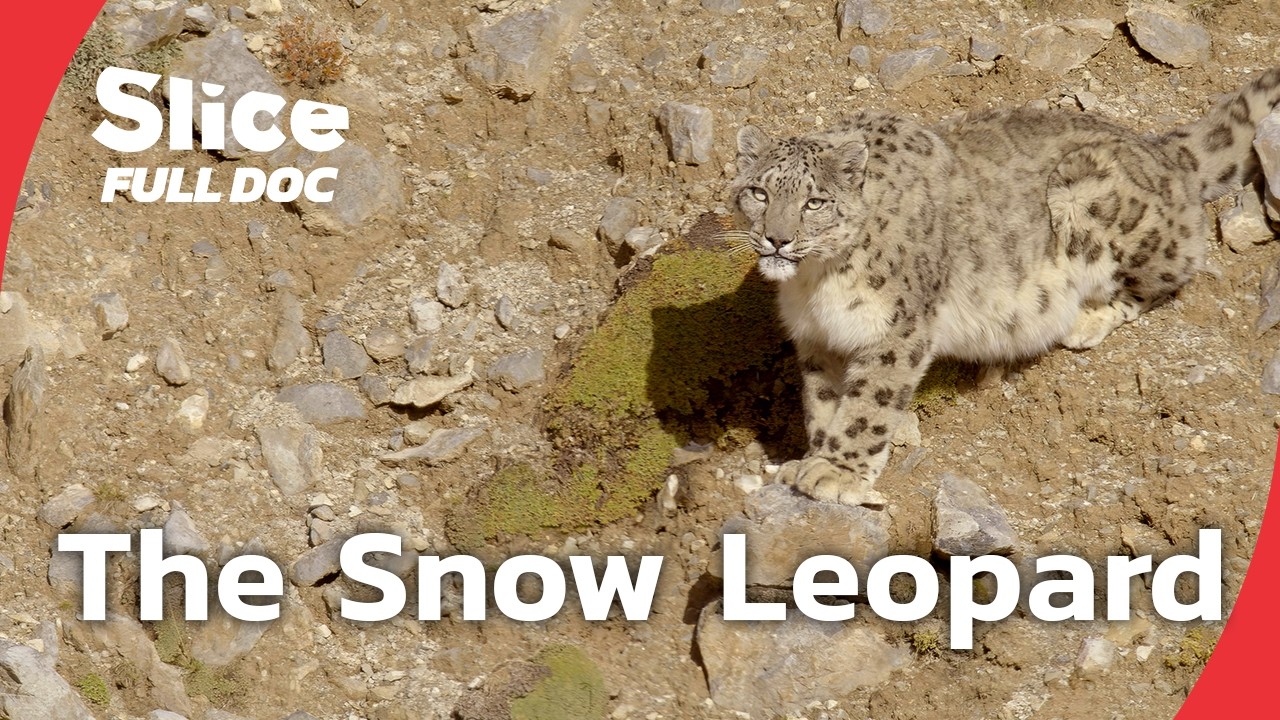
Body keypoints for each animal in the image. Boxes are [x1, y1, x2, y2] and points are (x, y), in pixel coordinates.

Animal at [727, 68, 1280, 508]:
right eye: (758, 192)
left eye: (815, 202)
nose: (777, 238)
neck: (814, 283)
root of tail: (1160, 147)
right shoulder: (817, 340)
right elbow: (822, 402)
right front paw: (812, 459)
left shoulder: (896, 331)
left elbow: (867, 406)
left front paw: (836, 473)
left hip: (1092, 199)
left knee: (1167, 276)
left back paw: (1085, 319)